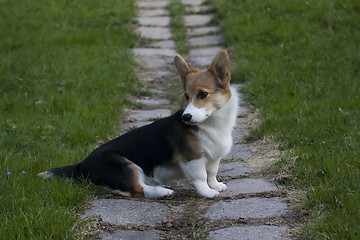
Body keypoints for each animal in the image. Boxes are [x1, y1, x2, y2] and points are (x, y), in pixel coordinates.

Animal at [39, 49, 238, 198]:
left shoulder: (213, 157)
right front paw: (208, 193)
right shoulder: (193, 159)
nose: (186, 117)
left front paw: (216, 186)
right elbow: (201, 177)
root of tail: (81, 164)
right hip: (126, 166)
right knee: (138, 189)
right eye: (186, 96)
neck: (211, 124)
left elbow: (211, 173)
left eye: (202, 94)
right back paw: (162, 191)